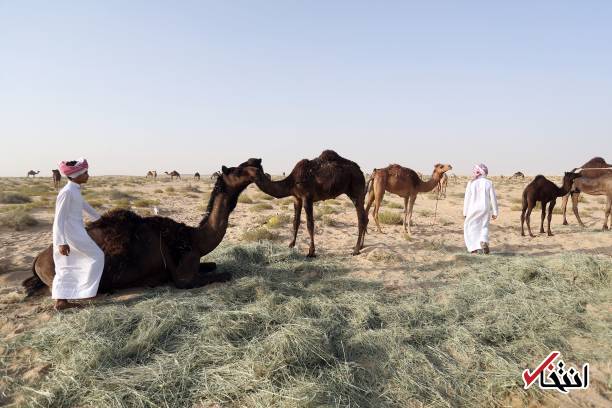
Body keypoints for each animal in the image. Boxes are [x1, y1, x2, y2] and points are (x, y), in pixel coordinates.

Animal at [22, 158, 262, 294]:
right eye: (238, 170)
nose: (257, 161)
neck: (193, 239)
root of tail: (37, 260)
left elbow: (213, 264)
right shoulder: (183, 278)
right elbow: (225, 273)